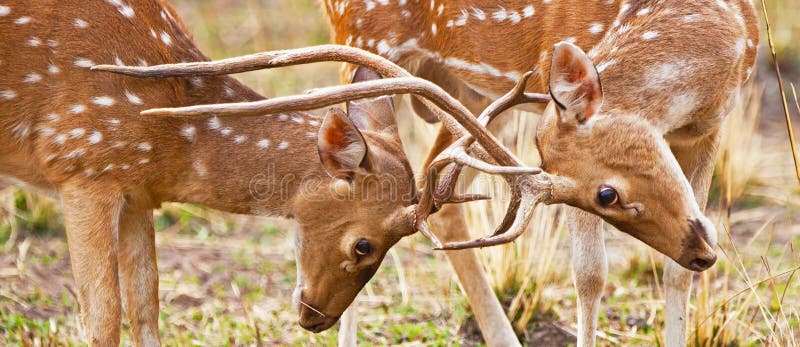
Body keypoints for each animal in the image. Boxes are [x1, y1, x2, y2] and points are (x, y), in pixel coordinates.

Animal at [322, 0, 760, 346]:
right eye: (607, 194)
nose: (702, 253)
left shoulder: (708, 131)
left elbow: (676, 274)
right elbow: (590, 274)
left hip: (474, 100)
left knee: (439, 199)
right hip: (360, 41)